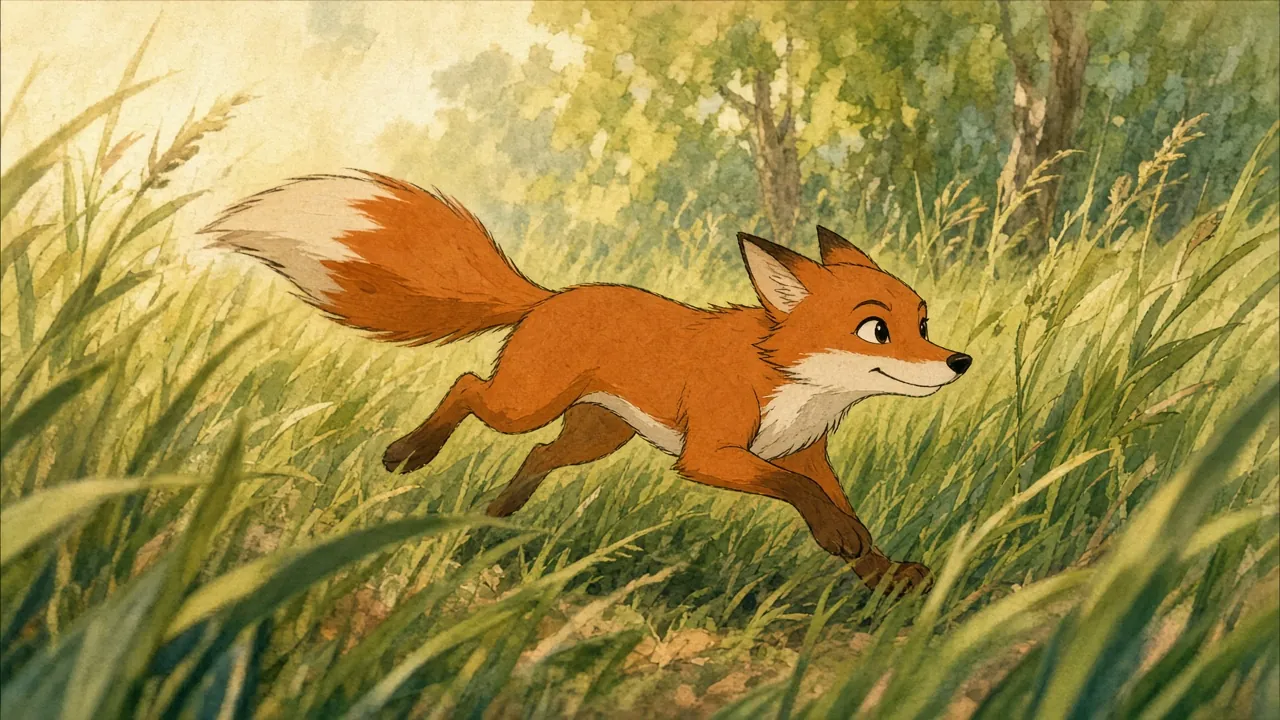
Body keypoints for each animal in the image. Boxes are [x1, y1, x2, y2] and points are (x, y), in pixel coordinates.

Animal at [202, 170, 972, 593]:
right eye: (876, 330)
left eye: (924, 321)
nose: (960, 362)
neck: (794, 386)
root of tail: (549, 296)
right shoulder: (713, 454)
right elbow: (800, 496)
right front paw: (843, 542)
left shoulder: (805, 452)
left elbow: (842, 508)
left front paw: (883, 575)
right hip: (525, 403)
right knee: (466, 385)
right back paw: (409, 455)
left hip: (595, 435)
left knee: (540, 453)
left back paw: (495, 515)